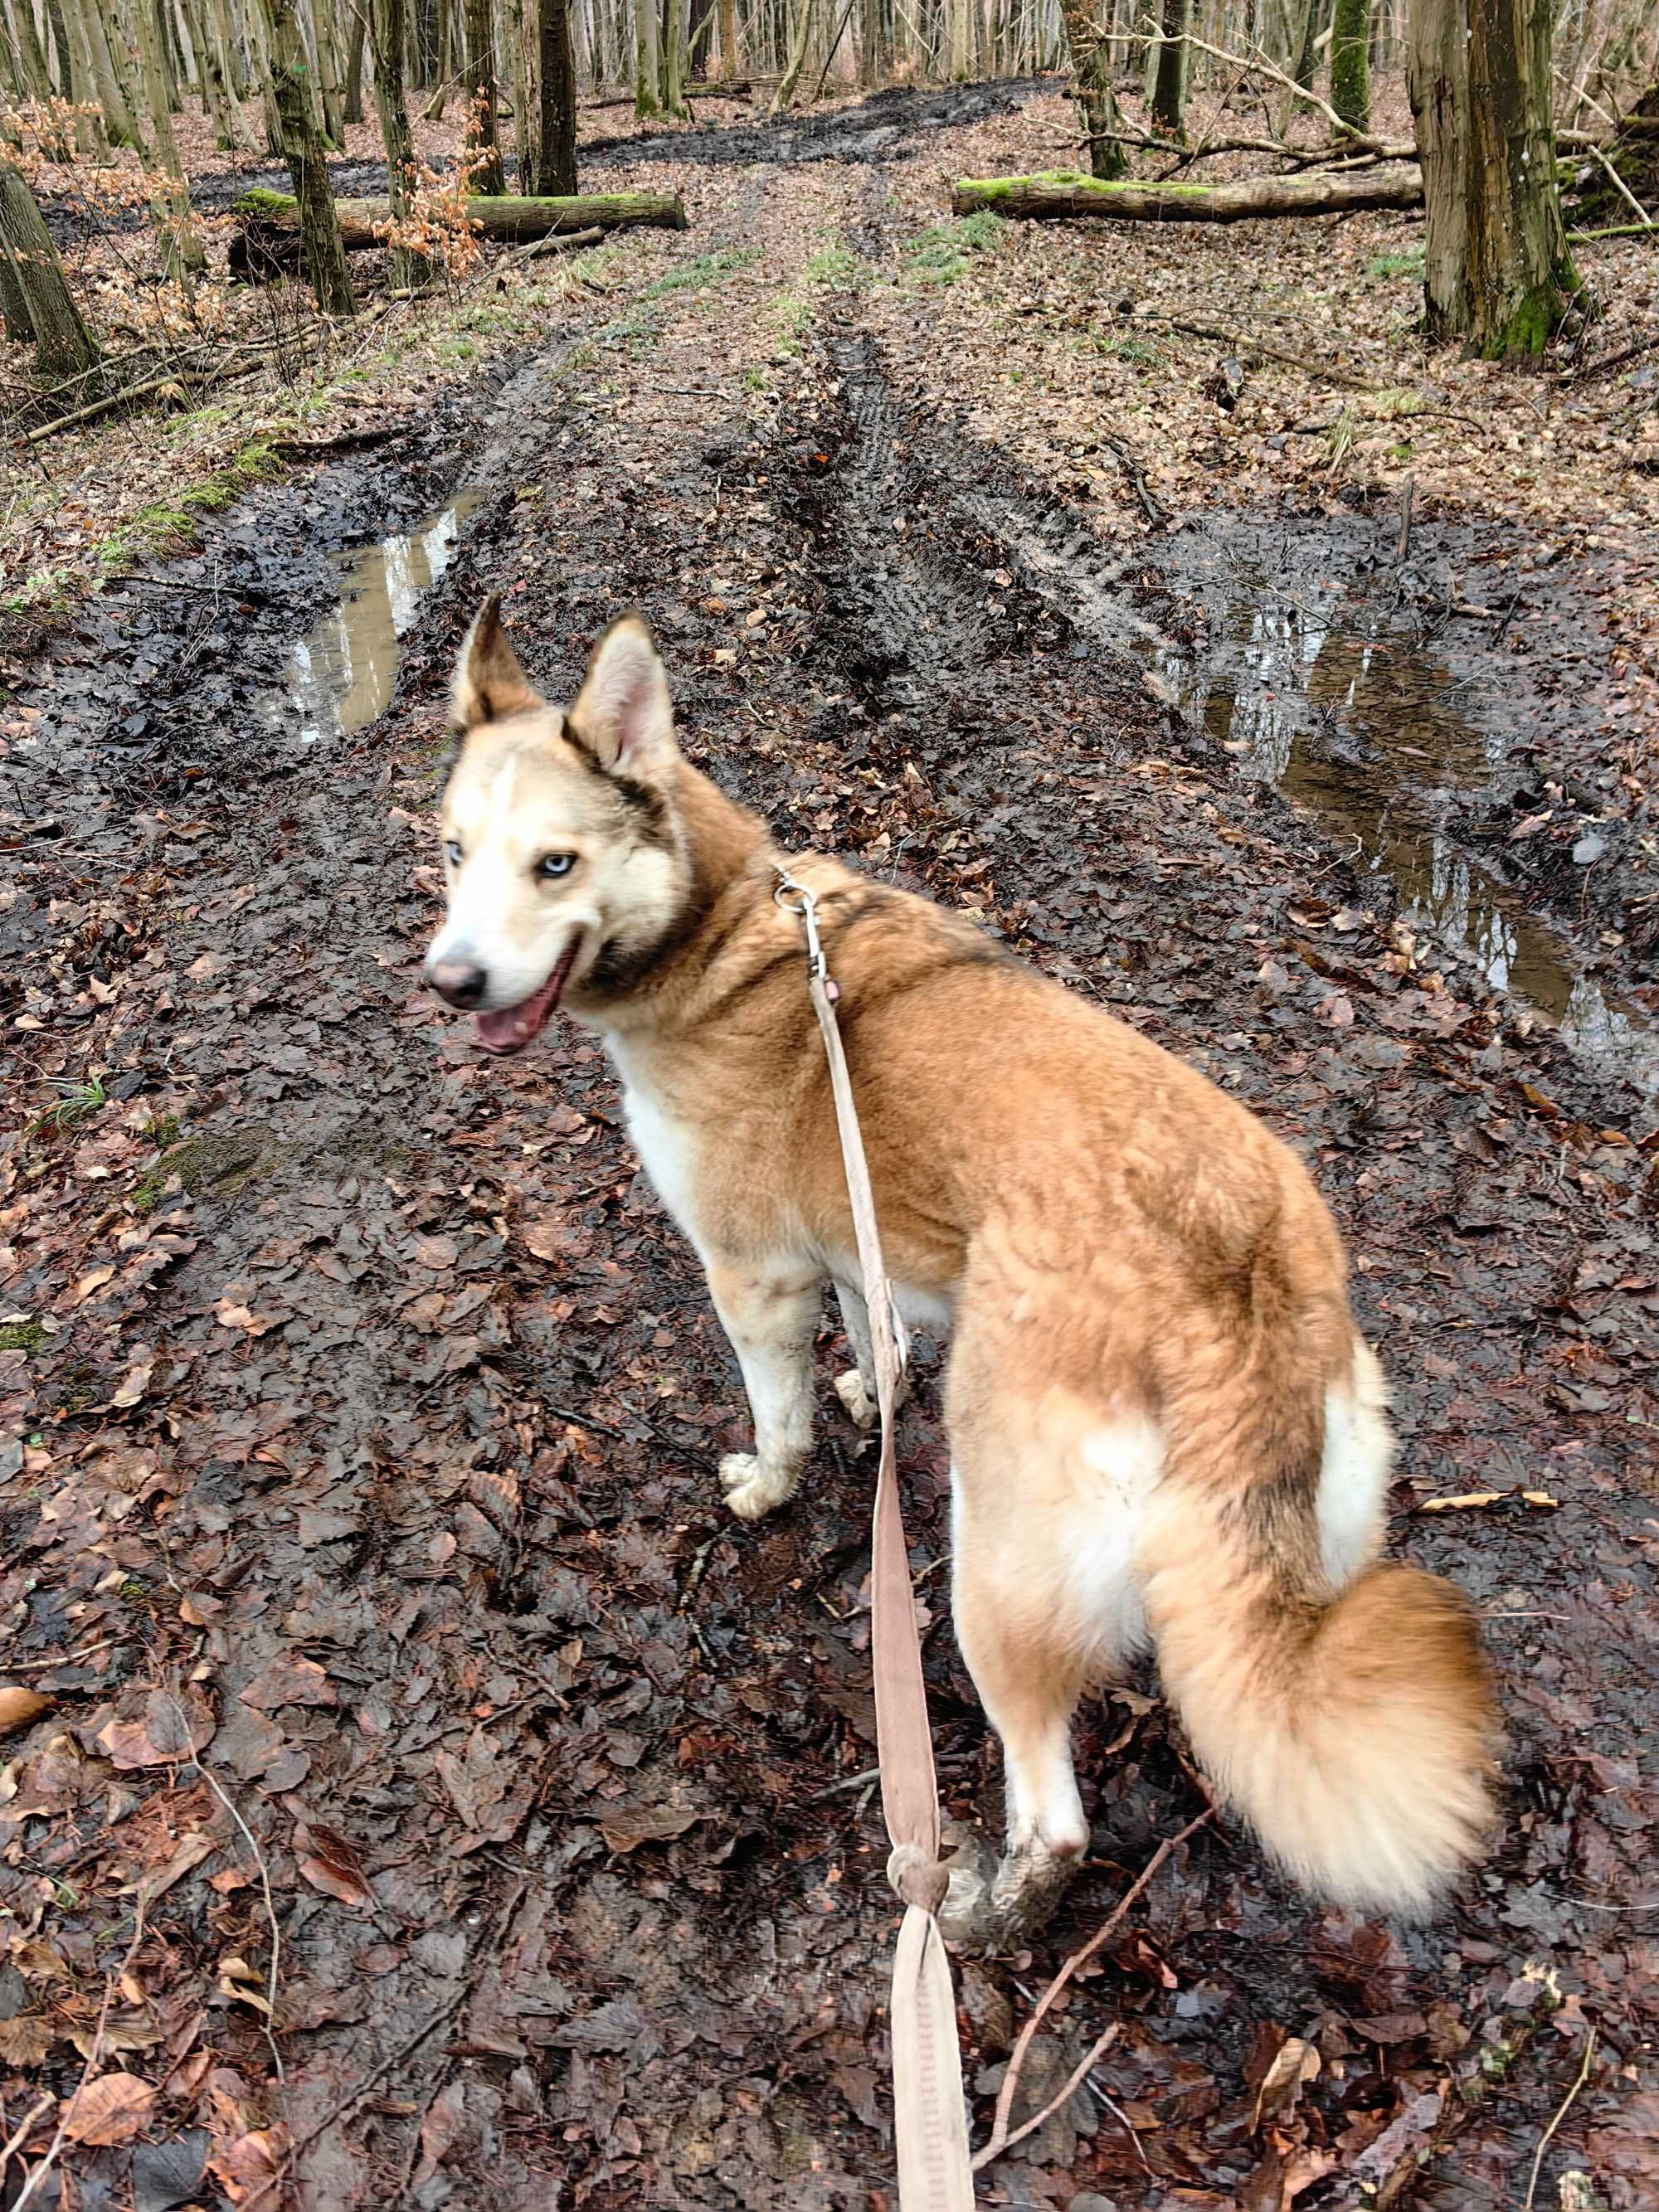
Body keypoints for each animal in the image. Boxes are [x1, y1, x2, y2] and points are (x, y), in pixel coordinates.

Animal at [422, 605, 1504, 1955]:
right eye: (454, 853)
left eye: (554, 866)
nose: (448, 982)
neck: (721, 933)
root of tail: (1242, 1277)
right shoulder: (845, 1241)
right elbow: (868, 1338)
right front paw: (868, 1395)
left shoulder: (750, 1279)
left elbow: (776, 1420)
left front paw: (768, 1485)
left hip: (994, 1567)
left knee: (1057, 1816)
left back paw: (979, 1909)